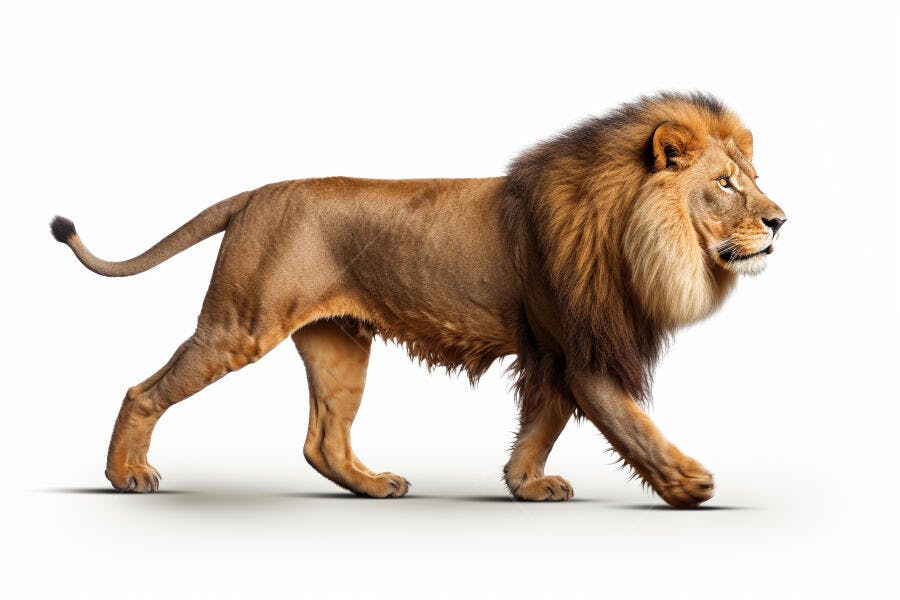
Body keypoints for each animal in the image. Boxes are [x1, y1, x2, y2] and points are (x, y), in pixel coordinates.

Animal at [50, 92, 785, 507]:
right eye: (725, 184)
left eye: (754, 178)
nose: (780, 220)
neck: (640, 232)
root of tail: (256, 193)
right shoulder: (582, 348)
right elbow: (630, 422)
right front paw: (689, 483)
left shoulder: (554, 352)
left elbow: (542, 424)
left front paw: (527, 485)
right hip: (239, 325)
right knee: (143, 391)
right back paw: (125, 475)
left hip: (339, 343)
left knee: (323, 441)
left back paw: (377, 486)